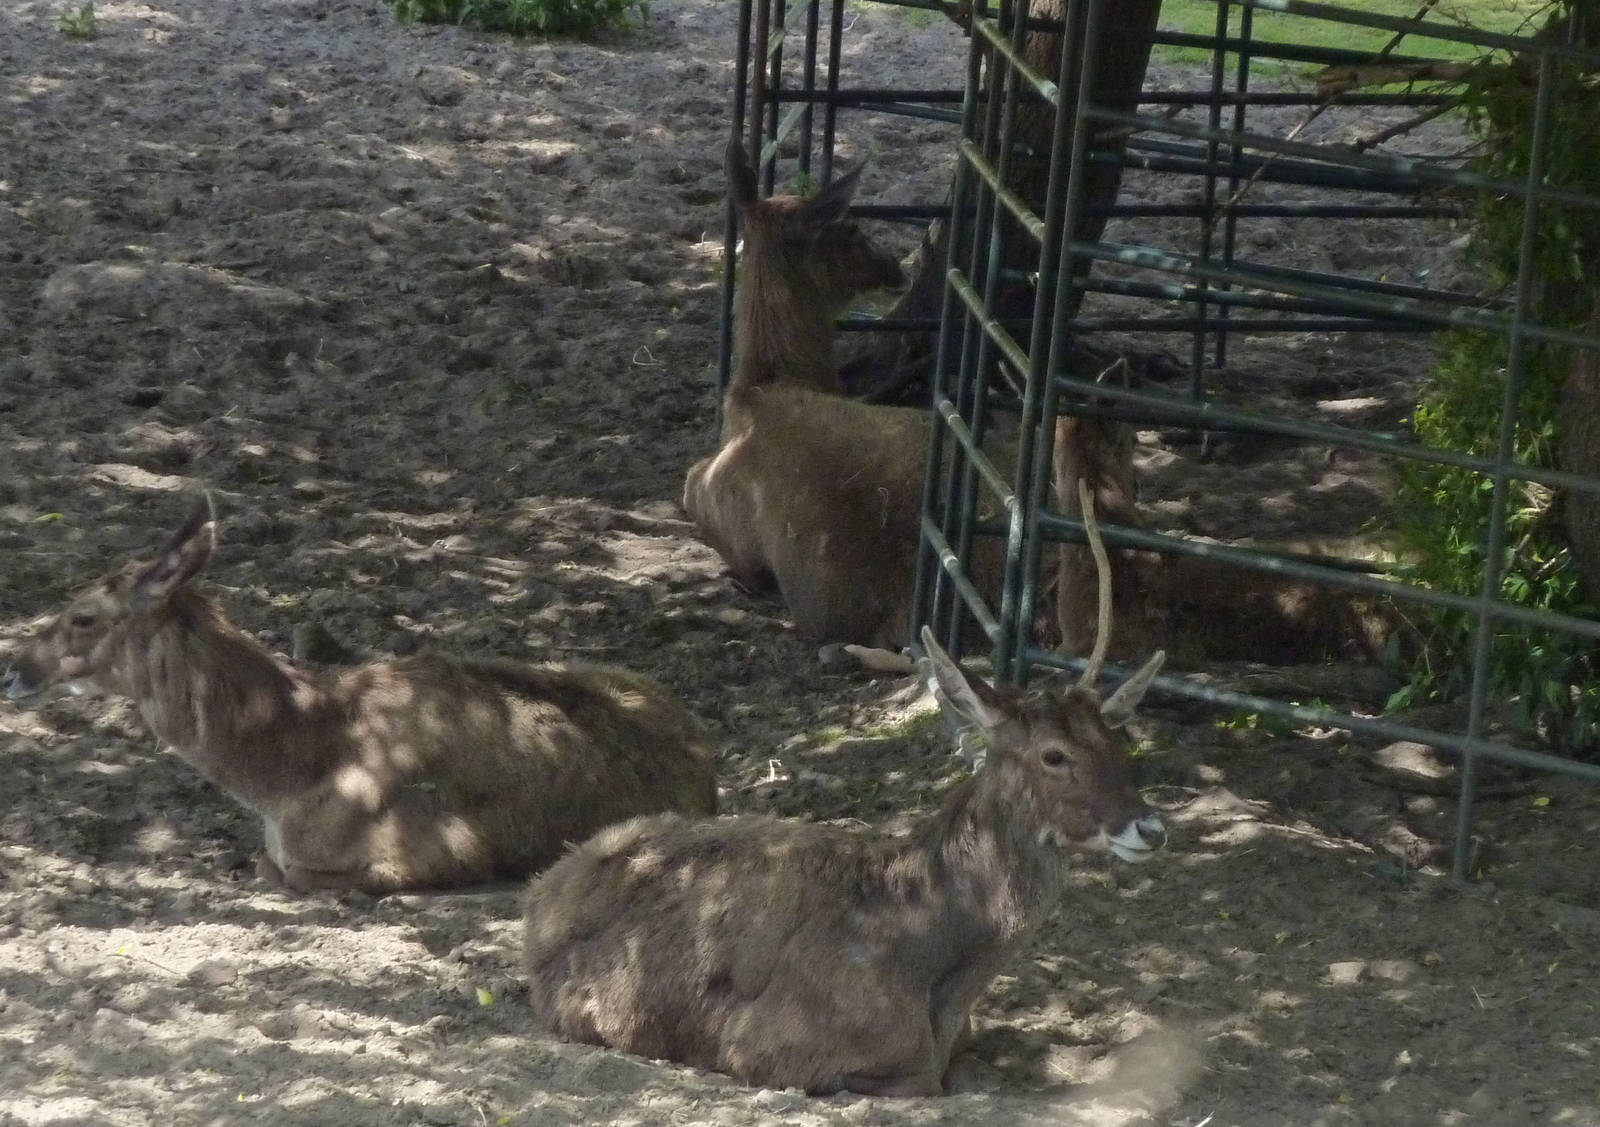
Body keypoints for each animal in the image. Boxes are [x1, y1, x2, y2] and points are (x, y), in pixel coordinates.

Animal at [521, 481, 1167, 1097]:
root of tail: (544, 897)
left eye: (1118, 741)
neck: (936, 972)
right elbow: (923, 1081)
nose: (1151, 827)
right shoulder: (766, 1047)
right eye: (1054, 755)